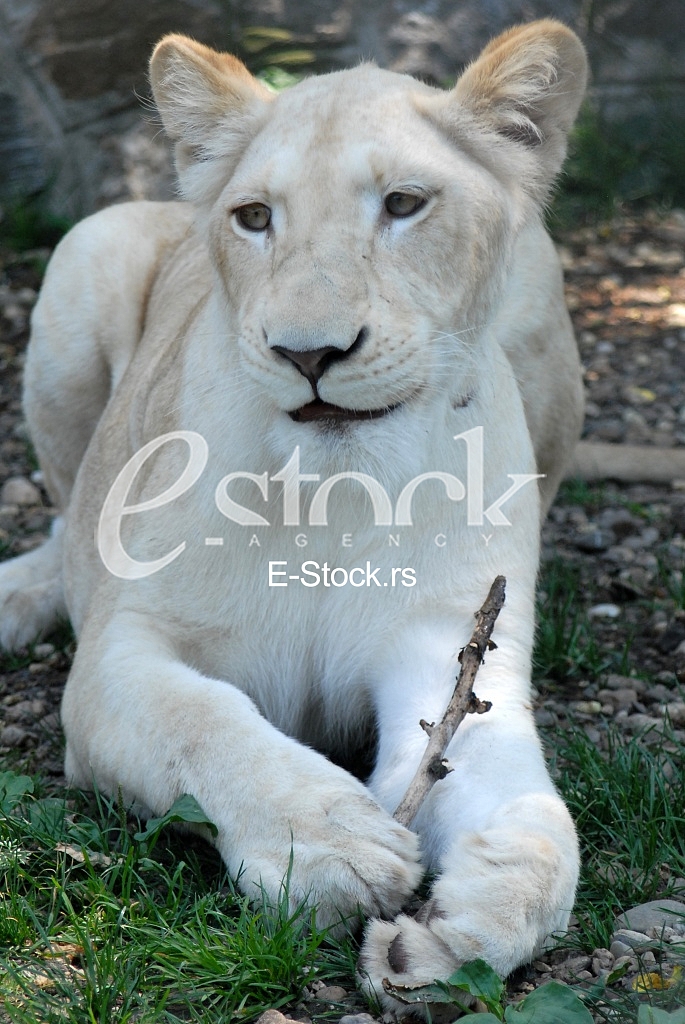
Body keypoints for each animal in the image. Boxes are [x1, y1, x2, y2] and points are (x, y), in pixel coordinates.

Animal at [0, 20, 590, 1010]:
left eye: (403, 204)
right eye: (254, 218)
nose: (308, 353)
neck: (336, 496)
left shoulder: (452, 655)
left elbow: (538, 824)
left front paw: (460, 930)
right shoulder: (117, 660)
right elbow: (203, 724)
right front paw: (328, 844)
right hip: (85, 249)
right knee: (61, 510)